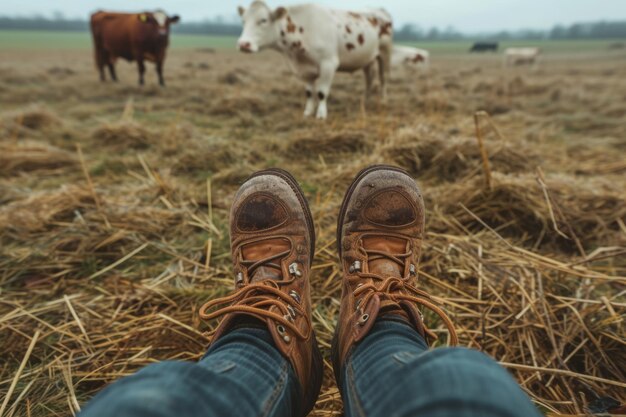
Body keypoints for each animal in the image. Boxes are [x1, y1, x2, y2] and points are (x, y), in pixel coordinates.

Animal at [235, 1, 390, 118]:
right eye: (243, 21)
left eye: (263, 20)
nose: (243, 44)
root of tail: (379, 10)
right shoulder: (305, 69)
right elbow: (309, 92)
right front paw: (308, 112)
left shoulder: (329, 64)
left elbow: (321, 92)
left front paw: (321, 114)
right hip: (367, 59)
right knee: (369, 79)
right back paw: (365, 101)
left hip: (385, 53)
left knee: (383, 78)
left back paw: (383, 101)